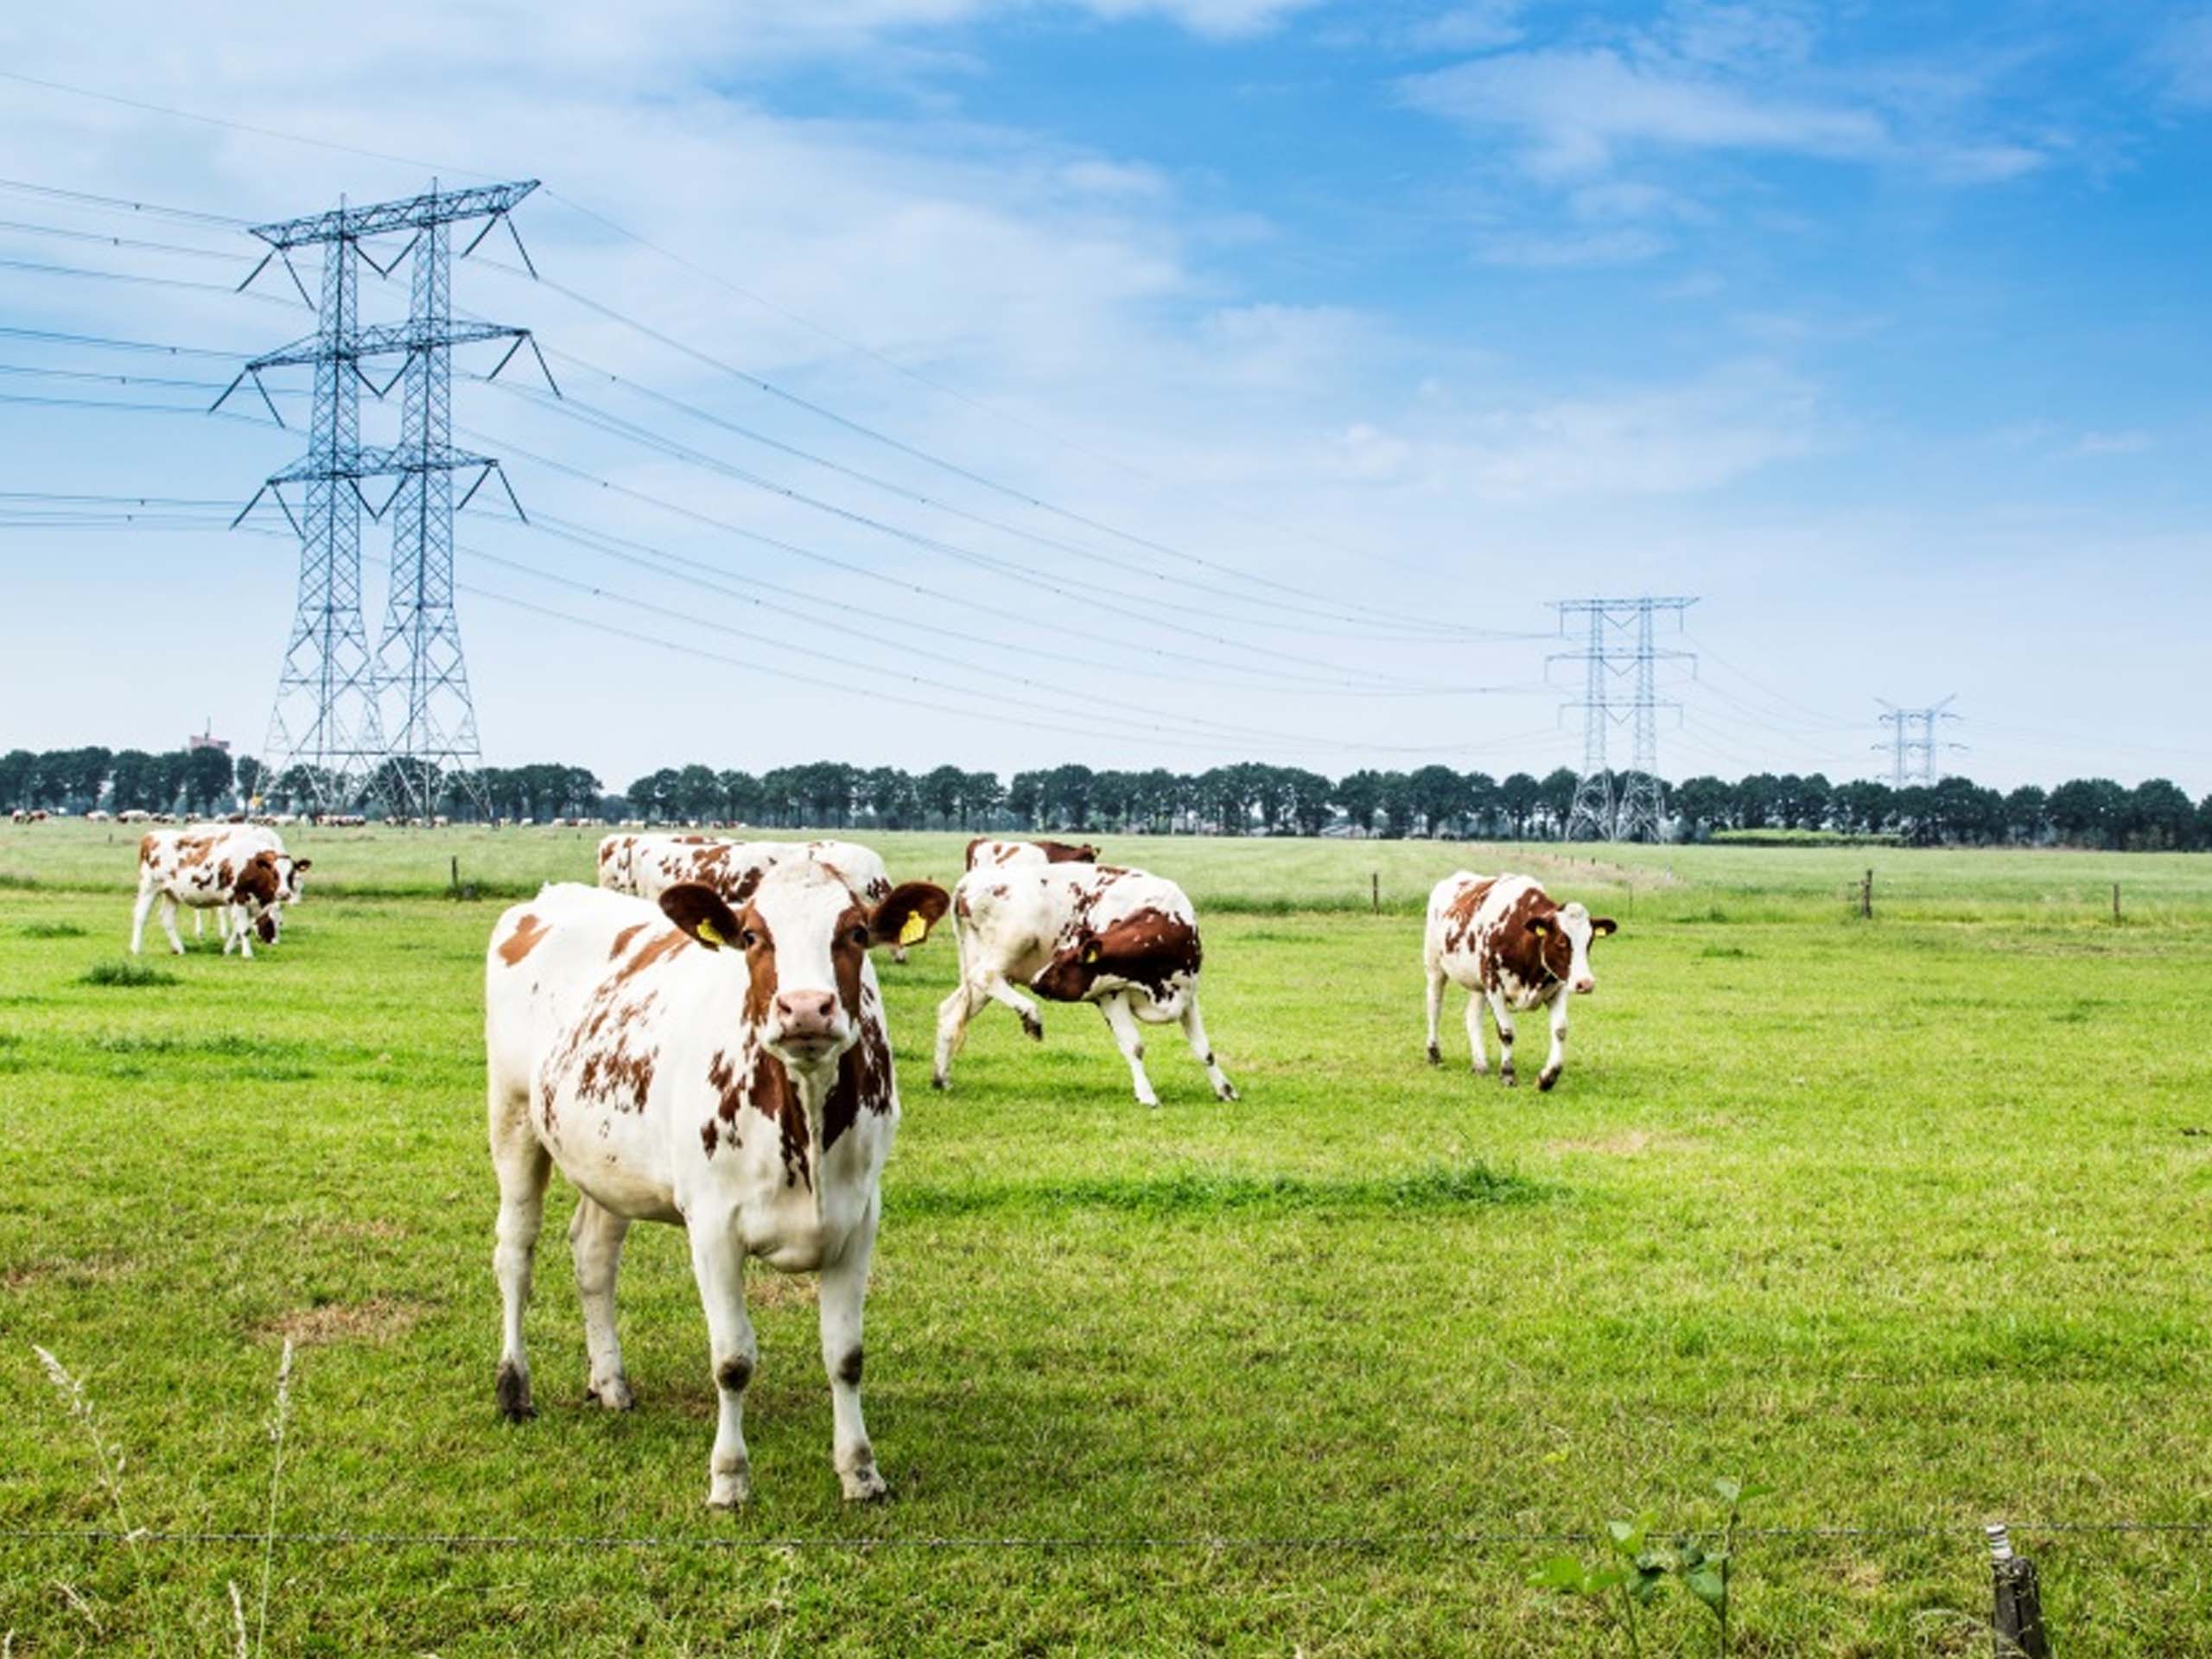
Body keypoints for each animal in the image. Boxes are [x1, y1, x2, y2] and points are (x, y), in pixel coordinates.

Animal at [127, 827, 307, 955]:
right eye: (274, 873)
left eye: (291, 874)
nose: (284, 893)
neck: (253, 865)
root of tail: (152, 835)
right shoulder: (239, 898)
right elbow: (244, 929)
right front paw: (247, 954)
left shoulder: (250, 903)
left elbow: (239, 928)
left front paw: (227, 950)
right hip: (149, 888)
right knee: (140, 916)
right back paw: (136, 949)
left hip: (172, 893)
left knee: (167, 919)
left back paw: (179, 949)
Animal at [488, 862, 946, 1513]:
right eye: (752, 936)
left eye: (856, 933)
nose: (805, 1009)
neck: (803, 1119)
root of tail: (549, 896)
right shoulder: (712, 1230)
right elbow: (732, 1360)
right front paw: (729, 1478)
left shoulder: (858, 1223)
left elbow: (847, 1356)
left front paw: (860, 1470)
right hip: (513, 1117)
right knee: (515, 1252)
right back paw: (514, 1388)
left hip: (608, 1163)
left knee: (594, 1257)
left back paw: (610, 1381)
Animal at [933, 862, 1238, 1110]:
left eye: (1062, 963)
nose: (1035, 982)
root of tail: (972, 880)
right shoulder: (1110, 995)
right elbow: (1134, 1046)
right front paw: (1146, 1094)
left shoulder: (1187, 997)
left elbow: (1204, 1050)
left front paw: (1225, 1089)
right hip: (1010, 945)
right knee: (984, 975)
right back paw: (1031, 1016)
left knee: (951, 1011)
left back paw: (941, 1079)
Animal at [1424, 871, 1618, 1092]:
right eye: (1561, 941)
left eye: (1589, 941)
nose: (1586, 983)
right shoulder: (1494, 987)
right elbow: (1506, 1032)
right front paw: (1508, 1074)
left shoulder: (1558, 988)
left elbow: (1560, 1030)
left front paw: (1547, 1077)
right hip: (1435, 967)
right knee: (1434, 1008)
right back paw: (1434, 1054)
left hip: (1478, 984)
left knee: (1472, 1016)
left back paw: (1480, 1064)